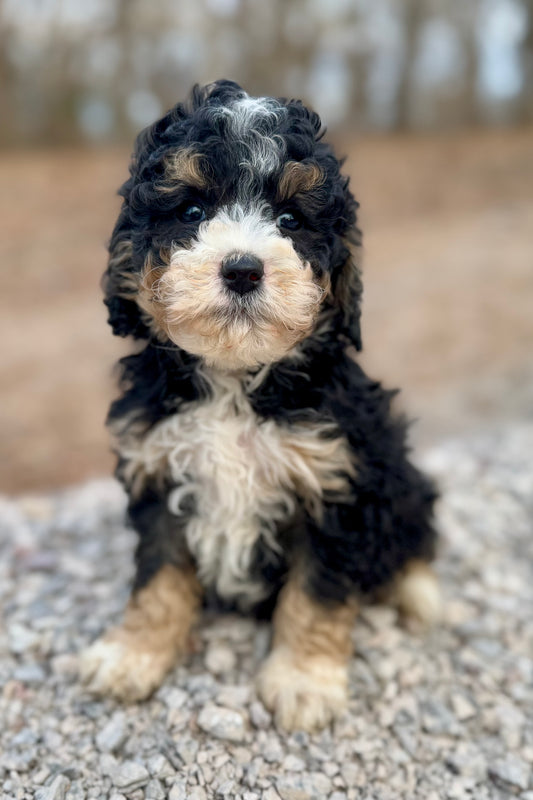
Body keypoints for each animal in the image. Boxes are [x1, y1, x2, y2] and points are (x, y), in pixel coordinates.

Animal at [80, 79, 440, 732]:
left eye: (291, 220)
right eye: (192, 212)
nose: (244, 270)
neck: (232, 381)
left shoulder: (336, 487)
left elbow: (317, 594)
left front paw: (303, 680)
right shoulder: (158, 469)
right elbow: (158, 580)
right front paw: (133, 654)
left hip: (396, 471)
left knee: (413, 532)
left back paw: (419, 592)